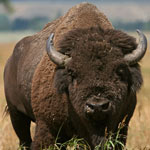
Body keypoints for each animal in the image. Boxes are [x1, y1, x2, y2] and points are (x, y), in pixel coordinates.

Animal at [3, 2, 148, 150]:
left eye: (120, 71)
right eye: (73, 73)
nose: (97, 106)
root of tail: (11, 60)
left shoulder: (122, 127)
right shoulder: (47, 126)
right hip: (17, 115)